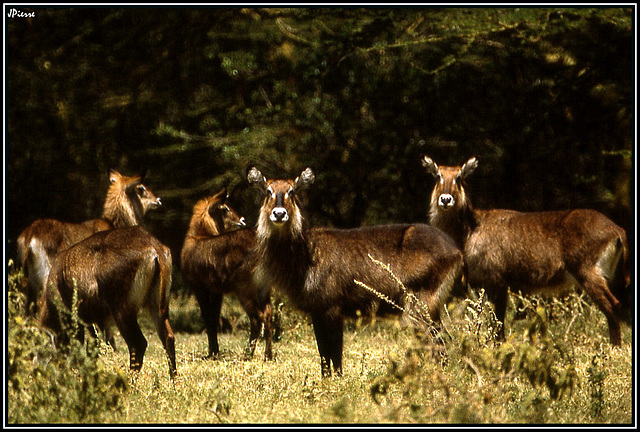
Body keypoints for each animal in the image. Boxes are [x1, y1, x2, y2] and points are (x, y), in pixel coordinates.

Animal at [16, 169, 161, 310]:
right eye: (141, 188)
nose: (158, 200)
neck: (113, 223)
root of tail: (31, 233)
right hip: (48, 275)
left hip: (32, 281)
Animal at [40, 226, 176, 378]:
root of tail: (153, 245)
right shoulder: (94, 321)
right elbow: (94, 348)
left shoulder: (77, 320)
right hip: (156, 306)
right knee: (168, 338)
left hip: (122, 310)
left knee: (138, 344)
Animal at [180, 187, 272, 360]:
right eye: (225, 208)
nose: (242, 219)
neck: (198, 236)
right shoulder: (217, 291)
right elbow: (215, 319)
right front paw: (214, 351)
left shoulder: (200, 288)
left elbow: (208, 318)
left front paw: (212, 353)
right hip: (264, 290)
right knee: (269, 315)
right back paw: (268, 355)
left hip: (244, 290)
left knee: (257, 318)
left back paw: (248, 354)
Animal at [248, 167, 462, 376]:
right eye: (268, 191)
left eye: (292, 191)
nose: (279, 213)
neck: (305, 255)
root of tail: (456, 250)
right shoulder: (317, 310)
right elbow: (323, 354)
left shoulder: (333, 308)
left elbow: (335, 354)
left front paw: (337, 381)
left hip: (421, 304)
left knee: (440, 341)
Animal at [420, 154, 632, 346]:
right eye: (438, 176)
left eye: (459, 177)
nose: (445, 199)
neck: (470, 229)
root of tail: (618, 230)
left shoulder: (497, 280)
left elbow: (498, 321)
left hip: (588, 272)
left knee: (613, 305)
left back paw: (614, 349)